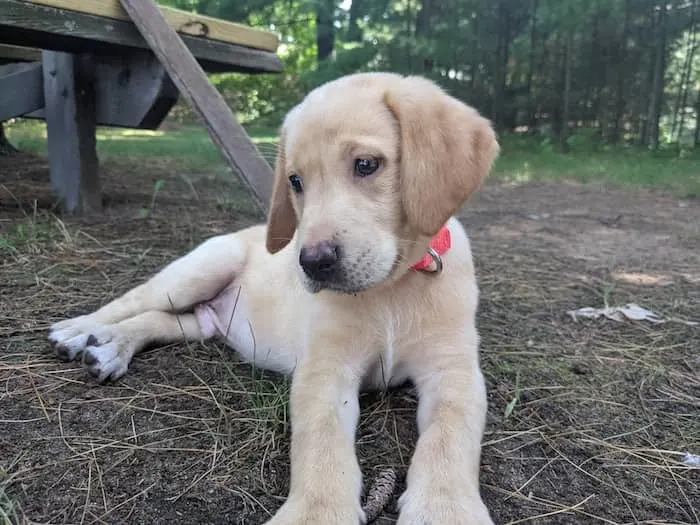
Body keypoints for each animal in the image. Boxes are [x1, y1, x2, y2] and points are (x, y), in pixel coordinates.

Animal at [49, 72, 498, 524]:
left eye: (367, 165)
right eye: (295, 182)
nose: (312, 263)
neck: (392, 288)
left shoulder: (454, 371)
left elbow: (450, 436)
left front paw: (444, 507)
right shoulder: (325, 369)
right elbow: (321, 444)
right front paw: (316, 511)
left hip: (202, 322)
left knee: (160, 321)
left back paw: (111, 347)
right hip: (200, 270)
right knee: (134, 301)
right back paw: (80, 330)